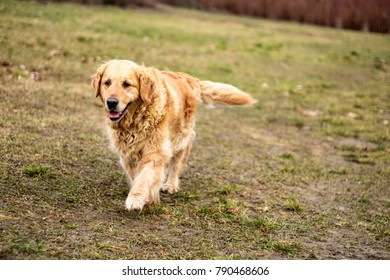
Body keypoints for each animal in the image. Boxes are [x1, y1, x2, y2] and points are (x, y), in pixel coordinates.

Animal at [92, 60, 256, 211]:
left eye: (127, 84)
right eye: (107, 83)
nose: (111, 102)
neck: (136, 120)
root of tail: (189, 78)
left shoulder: (155, 152)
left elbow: (144, 177)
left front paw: (136, 198)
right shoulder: (127, 153)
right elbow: (135, 176)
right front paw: (143, 194)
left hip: (181, 138)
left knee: (178, 162)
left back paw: (171, 184)